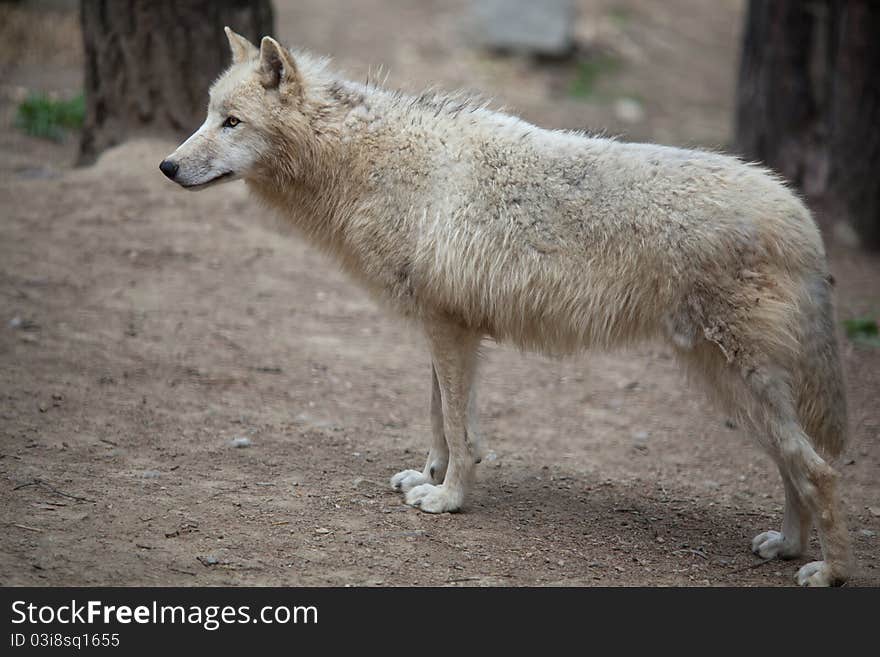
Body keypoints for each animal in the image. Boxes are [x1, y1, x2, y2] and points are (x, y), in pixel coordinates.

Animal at [162, 28, 848, 588]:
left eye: (231, 122)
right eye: (207, 116)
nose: (167, 166)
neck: (371, 164)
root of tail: (803, 218)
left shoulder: (449, 330)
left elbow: (458, 429)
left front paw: (448, 501)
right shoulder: (444, 330)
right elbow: (443, 421)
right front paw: (430, 478)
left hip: (739, 383)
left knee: (821, 471)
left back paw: (827, 571)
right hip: (729, 388)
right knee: (794, 467)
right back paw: (786, 546)